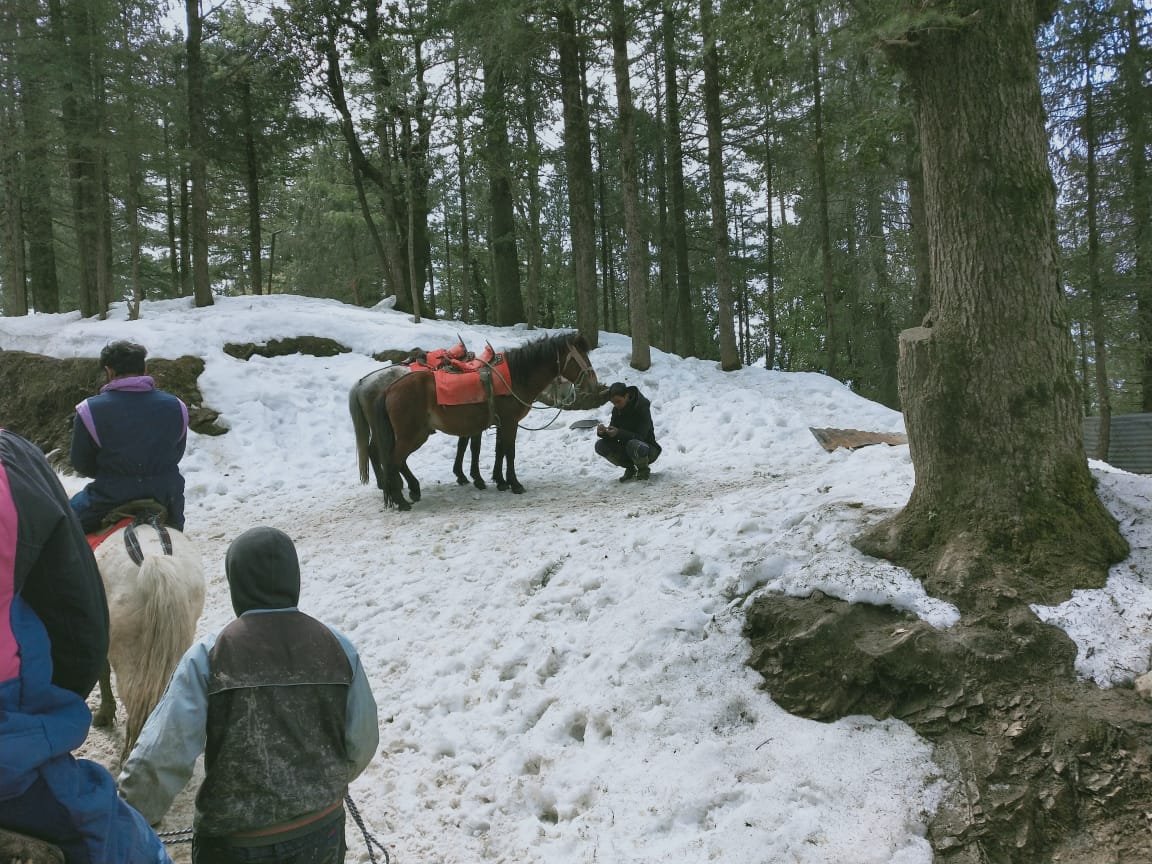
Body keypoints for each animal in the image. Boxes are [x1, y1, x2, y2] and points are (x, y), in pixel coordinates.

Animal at [370, 331, 598, 510]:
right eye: (581, 358)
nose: (593, 384)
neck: (515, 377)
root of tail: (390, 389)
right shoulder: (510, 422)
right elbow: (509, 451)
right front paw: (514, 484)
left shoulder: (502, 423)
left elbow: (500, 450)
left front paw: (500, 480)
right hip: (412, 435)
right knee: (393, 461)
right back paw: (401, 500)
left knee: (398, 461)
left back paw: (410, 491)